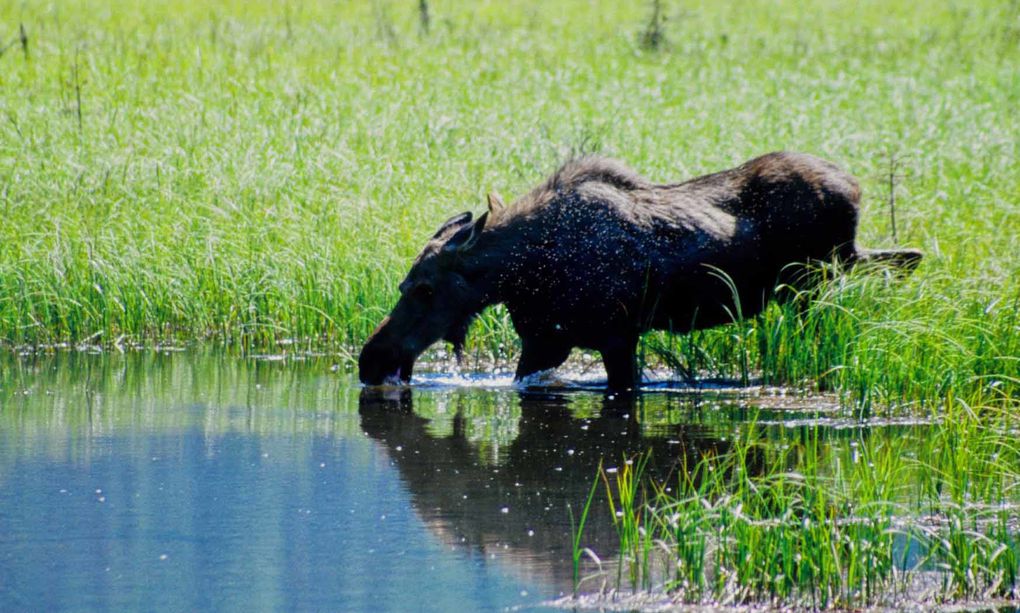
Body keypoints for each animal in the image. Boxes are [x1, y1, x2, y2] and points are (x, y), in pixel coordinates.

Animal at [361, 154, 926, 391]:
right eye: (403, 284)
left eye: (425, 288)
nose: (371, 359)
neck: (520, 274)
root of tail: (855, 191)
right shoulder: (547, 340)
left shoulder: (615, 336)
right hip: (834, 269)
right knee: (900, 257)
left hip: (814, 283)